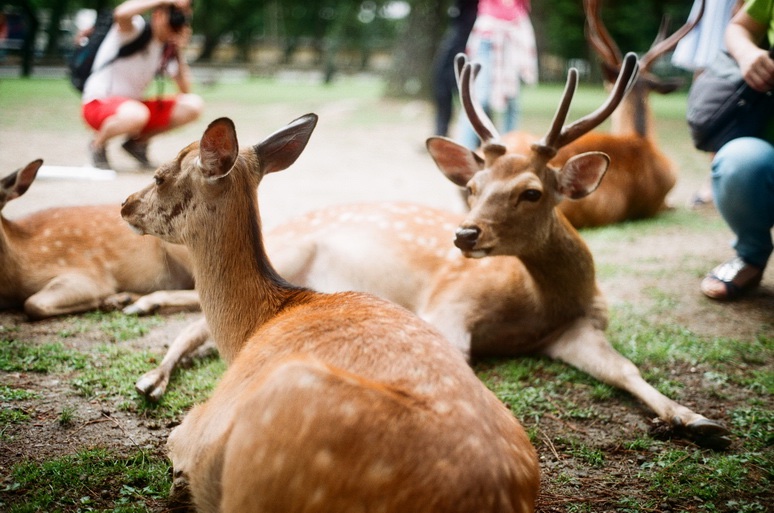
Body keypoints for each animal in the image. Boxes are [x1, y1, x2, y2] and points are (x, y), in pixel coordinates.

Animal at [0, 159, 195, 319]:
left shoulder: (87, 273)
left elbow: (33, 304)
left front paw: (105, 300)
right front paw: (116, 300)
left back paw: (140, 304)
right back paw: (126, 299)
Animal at [129, 53, 731, 451]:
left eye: (531, 192)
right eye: (473, 186)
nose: (465, 236)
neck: (542, 304)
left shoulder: (578, 330)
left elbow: (627, 370)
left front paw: (697, 421)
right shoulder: (450, 303)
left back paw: (142, 309)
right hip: (295, 249)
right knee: (195, 322)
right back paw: (149, 376)